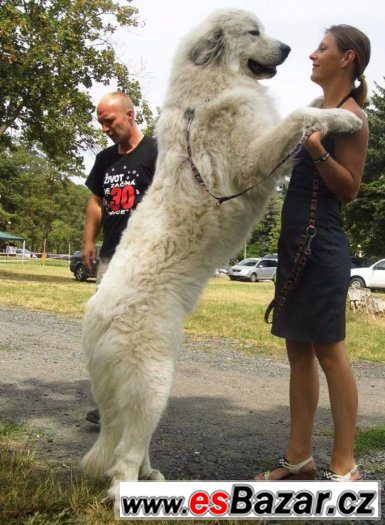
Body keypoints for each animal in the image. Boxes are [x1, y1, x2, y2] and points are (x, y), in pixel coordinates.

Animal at [80, 8, 360, 500]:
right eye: (253, 32)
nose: (289, 49)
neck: (212, 83)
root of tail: (96, 315)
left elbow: (302, 110)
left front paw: (336, 106)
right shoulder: (251, 160)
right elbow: (299, 117)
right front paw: (346, 120)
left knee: (131, 441)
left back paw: (151, 475)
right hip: (153, 382)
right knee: (123, 459)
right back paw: (134, 488)